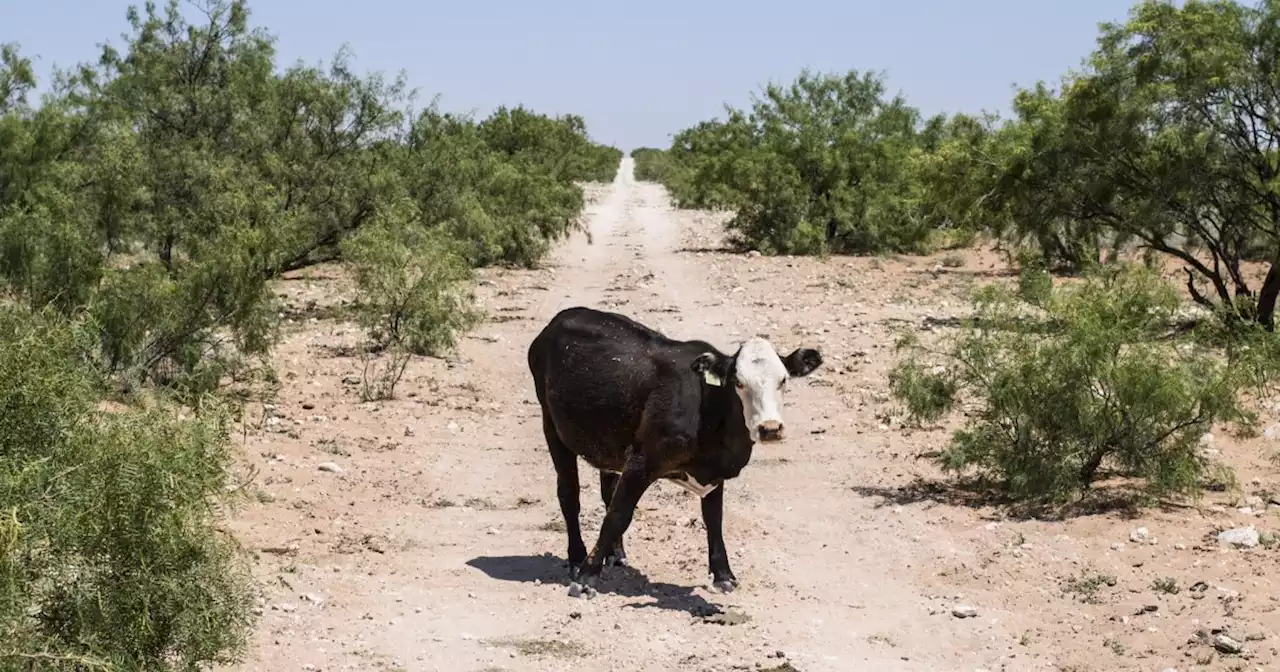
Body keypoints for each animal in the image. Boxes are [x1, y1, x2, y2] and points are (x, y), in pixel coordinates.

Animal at [524, 304, 824, 596]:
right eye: (738, 382)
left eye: (783, 380)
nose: (770, 428)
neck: (708, 407)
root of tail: (562, 317)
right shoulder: (641, 462)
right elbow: (618, 515)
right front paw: (587, 577)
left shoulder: (713, 473)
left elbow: (713, 519)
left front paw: (723, 575)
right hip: (552, 427)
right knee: (569, 496)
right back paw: (577, 558)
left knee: (606, 489)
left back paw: (616, 554)